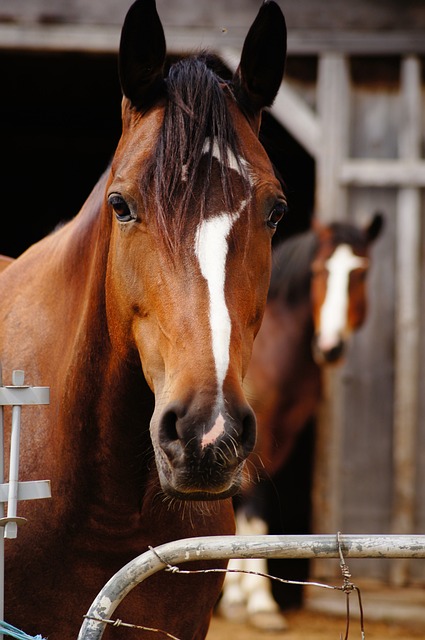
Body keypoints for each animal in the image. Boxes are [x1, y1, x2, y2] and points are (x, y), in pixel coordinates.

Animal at [220, 214, 382, 632]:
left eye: (361, 272)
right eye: (319, 270)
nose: (330, 347)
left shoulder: (280, 438)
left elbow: (250, 512)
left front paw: (241, 594)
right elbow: (250, 511)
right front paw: (256, 602)